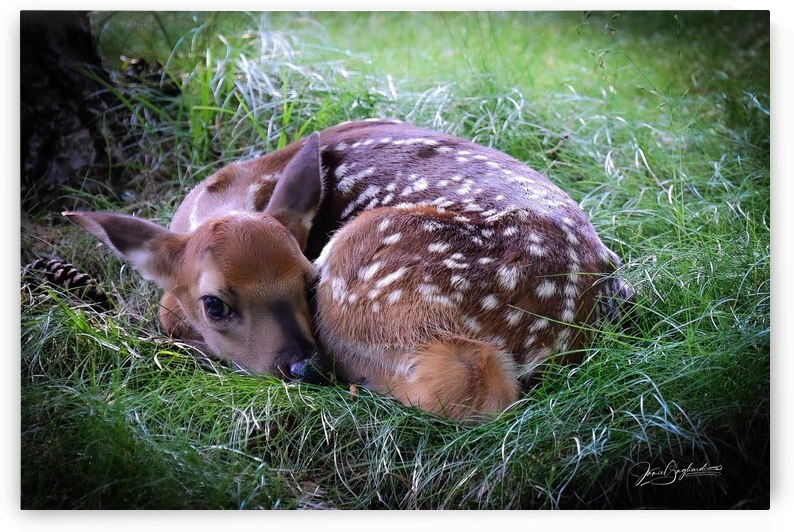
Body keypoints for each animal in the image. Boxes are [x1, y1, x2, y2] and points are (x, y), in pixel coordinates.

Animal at [65, 118, 632, 420]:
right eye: (215, 304)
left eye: (306, 279)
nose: (305, 368)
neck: (222, 195)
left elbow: (165, 311)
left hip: (367, 265)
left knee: (466, 381)